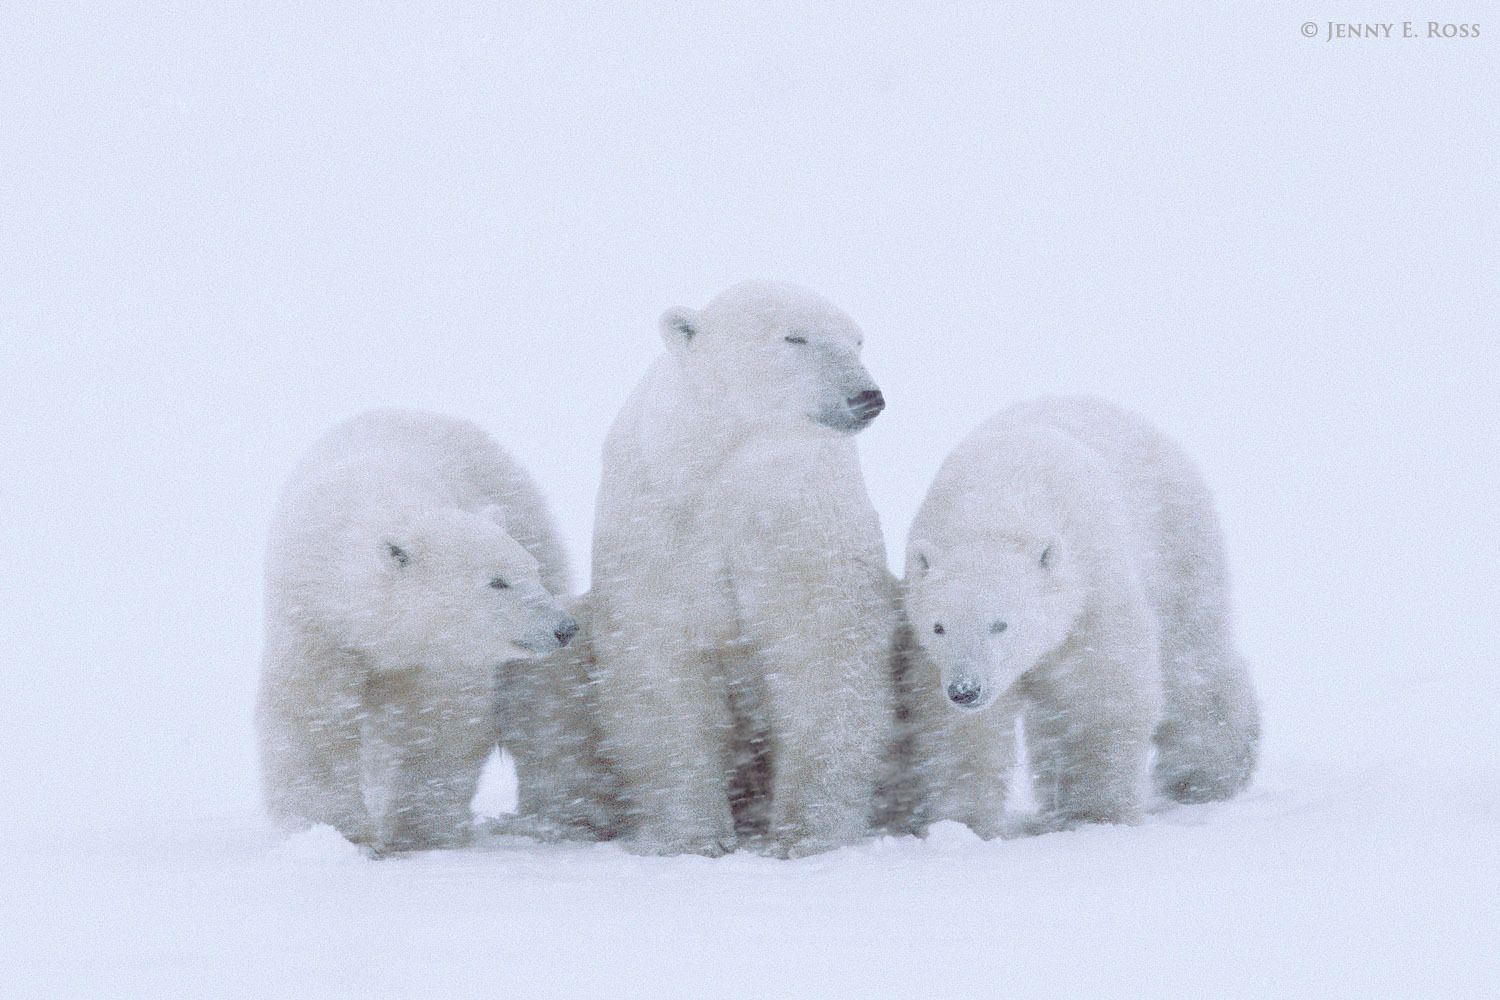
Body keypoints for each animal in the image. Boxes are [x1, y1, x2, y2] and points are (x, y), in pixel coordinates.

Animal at [256, 408, 580, 852]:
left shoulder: (441, 655)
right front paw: (341, 832)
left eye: (531, 572)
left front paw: (416, 832)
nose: (565, 628)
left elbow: (438, 723)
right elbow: (313, 716)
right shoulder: (313, 620)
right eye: (497, 581)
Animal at [589, 280, 901, 858]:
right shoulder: (660, 523)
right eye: (795, 337)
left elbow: (820, 657)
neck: (728, 469)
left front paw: (803, 835)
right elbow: (663, 664)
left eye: (858, 340)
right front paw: (692, 836)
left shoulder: (799, 520)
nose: (866, 396)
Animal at [898, 396, 1260, 837]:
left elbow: (1097, 700)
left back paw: (1208, 776)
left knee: (1192, 658)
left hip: (1178, 544)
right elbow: (963, 734)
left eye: (1001, 624)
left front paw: (1096, 815)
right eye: (939, 627)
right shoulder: (928, 657)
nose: (965, 690)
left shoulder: (1091, 596)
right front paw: (964, 825)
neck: (996, 509)